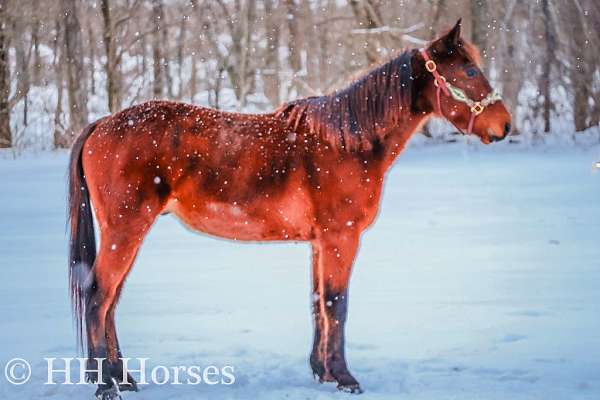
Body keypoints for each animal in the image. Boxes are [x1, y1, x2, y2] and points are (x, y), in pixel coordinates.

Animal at [69, 21, 510, 400]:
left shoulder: (320, 243)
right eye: (470, 70)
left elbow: (317, 302)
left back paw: (124, 379)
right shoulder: (341, 238)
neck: (347, 143)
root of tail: (102, 123)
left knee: (110, 302)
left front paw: (322, 371)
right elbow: (337, 303)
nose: (504, 125)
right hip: (125, 231)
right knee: (98, 297)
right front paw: (345, 377)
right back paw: (105, 385)